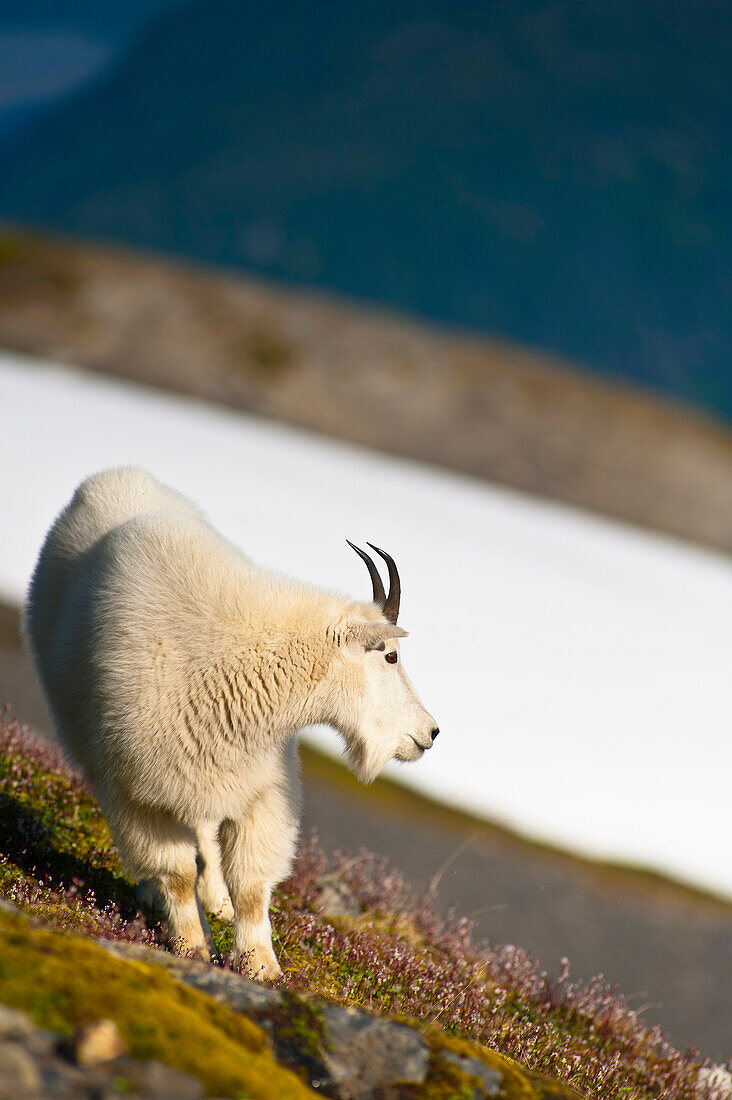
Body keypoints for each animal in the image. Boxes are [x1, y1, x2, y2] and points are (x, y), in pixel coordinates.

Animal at [24, 466, 440, 981]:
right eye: (391, 656)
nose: (429, 732)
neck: (235, 659)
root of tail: (115, 476)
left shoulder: (260, 787)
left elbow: (252, 883)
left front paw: (261, 966)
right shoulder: (134, 788)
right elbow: (176, 872)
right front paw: (192, 947)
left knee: (205, 834)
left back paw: (216, 903)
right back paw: (160, 898)